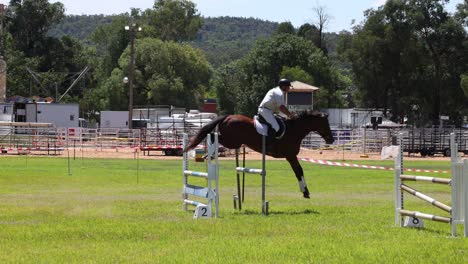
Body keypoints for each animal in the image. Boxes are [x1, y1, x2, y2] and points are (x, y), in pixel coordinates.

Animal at [183, 110, 332, 199]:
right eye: (325, 124)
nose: (331, 139)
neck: (294, 130)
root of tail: (227, 117)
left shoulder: (291, 156)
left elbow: (298, 171)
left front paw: (305, 191)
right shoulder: (290, 156)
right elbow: (299, 171)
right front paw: (305, 191)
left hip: (234, 142)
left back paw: (208, 155)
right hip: (232, 141)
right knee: (214, 136)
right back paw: (207, 154)